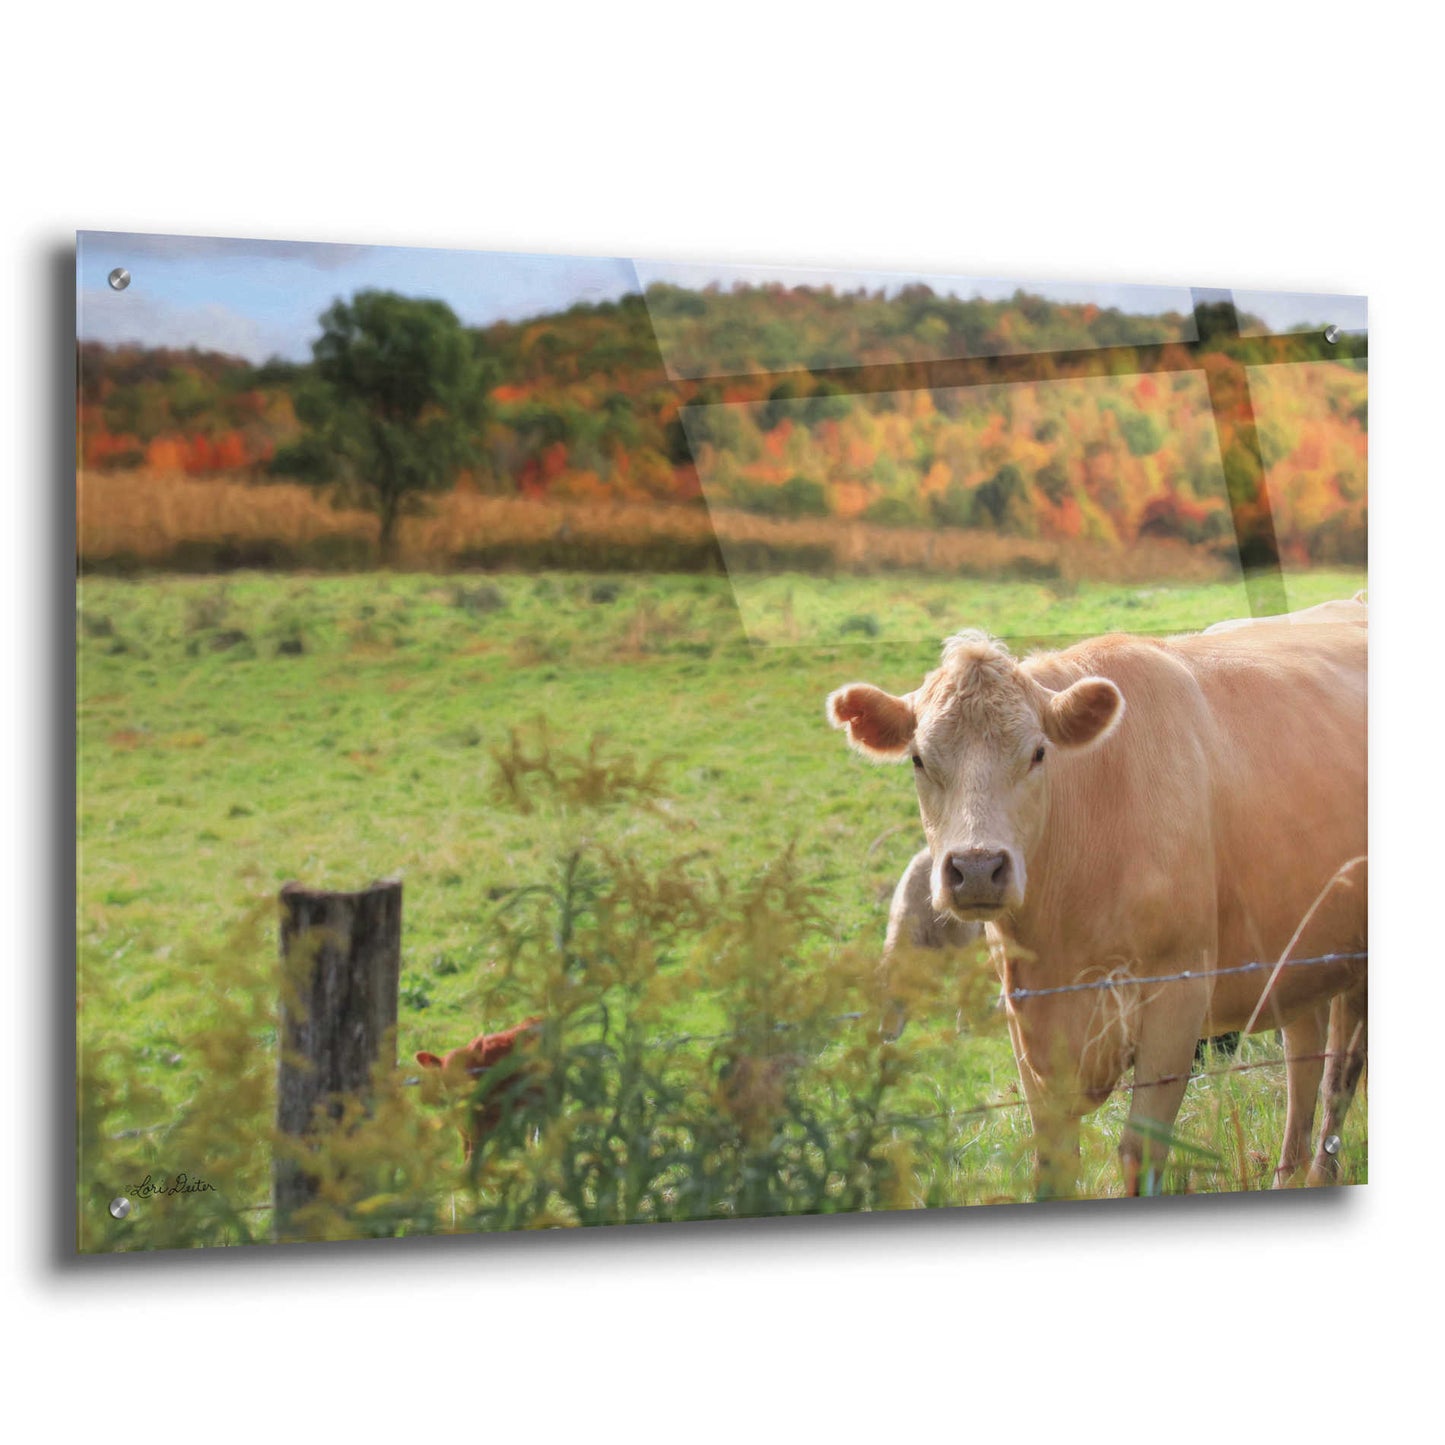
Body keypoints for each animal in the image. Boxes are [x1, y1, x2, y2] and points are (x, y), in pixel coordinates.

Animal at [828, 616, 1366, 1198]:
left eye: (1039, 753)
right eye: (919, 759)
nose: (976, 868)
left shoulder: (1178, 996)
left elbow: (1140, 1153)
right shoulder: (1027, 1018)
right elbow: (1054, 1162)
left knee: (1340, 1073)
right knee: (1304, 1056)